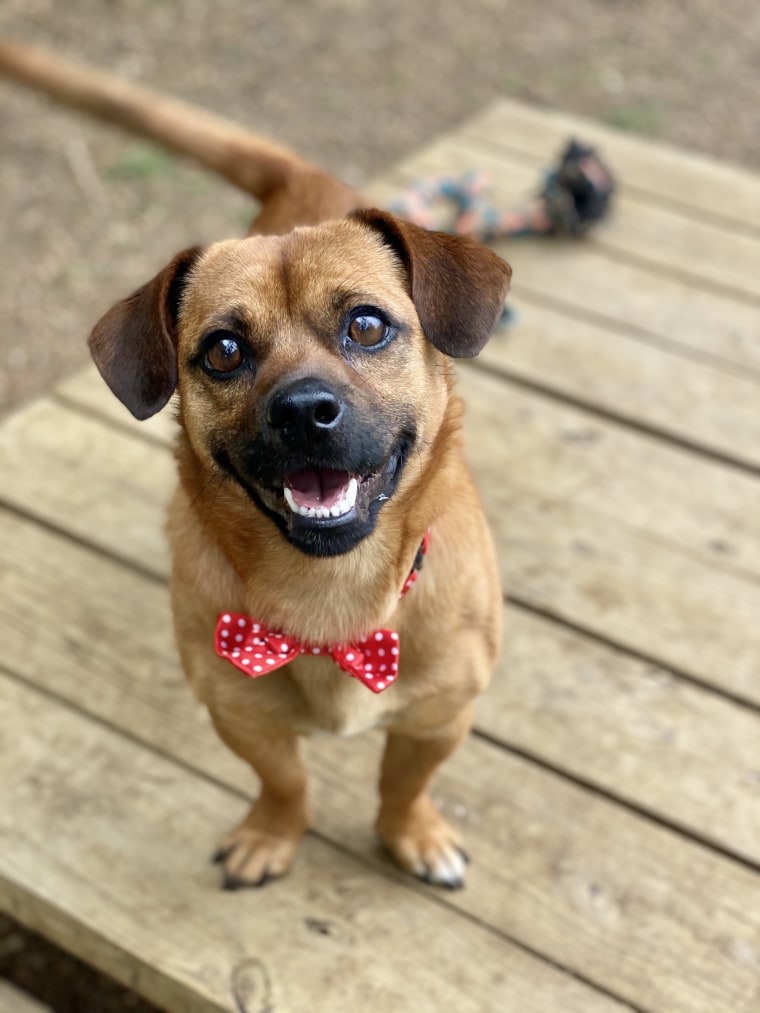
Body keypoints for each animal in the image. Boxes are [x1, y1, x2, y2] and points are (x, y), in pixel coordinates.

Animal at [1, 37, 512, 887]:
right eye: (223, 350)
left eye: (367, 325)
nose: (303, 410)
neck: (331, 599)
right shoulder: (239, 713)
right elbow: (286, 782)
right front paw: (272, 835)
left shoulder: (442, 715)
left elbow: (402, 783)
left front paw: (413, 833)